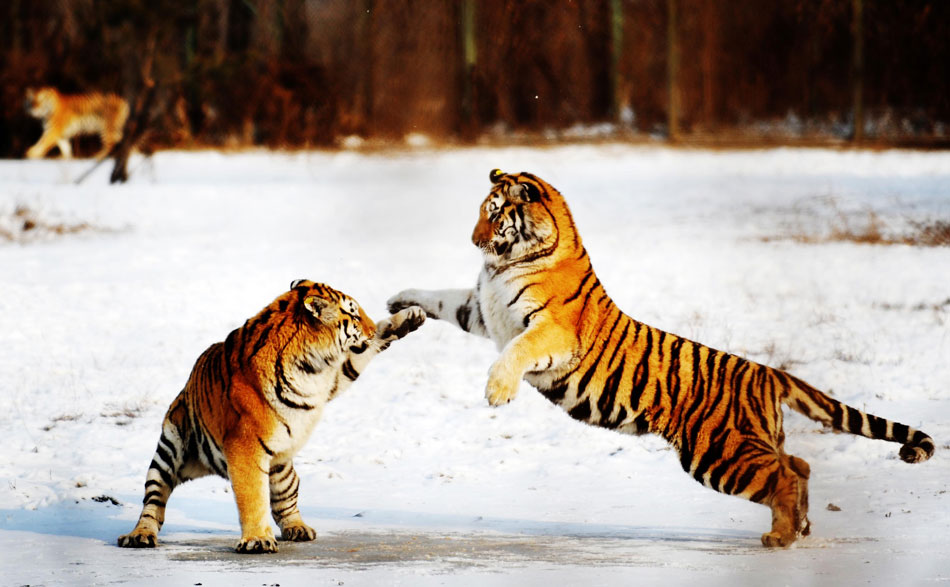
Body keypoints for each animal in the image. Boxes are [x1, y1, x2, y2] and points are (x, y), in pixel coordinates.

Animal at [117, 282, 426, 552]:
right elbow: (253, 496)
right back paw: (139, 535)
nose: (371, 328)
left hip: (282, 466)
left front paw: (407, 318)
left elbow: (363, 354)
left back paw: (298, 528)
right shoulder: (244, 447)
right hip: (170, 449)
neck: (315, 366)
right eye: (353, 314)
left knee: (286, 500)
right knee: (154, 501)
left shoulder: (335, 378)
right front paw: (257, 540)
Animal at [386, 168, 936, 548]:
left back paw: (781, 537)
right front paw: (399, 301)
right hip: (749, 444)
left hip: (719, 453)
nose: (474, 240)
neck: (506, 264)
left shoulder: (549, 332)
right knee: (798, 463)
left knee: (784, 474)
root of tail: (766, 370)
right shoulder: (480, 310)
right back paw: (797, 528)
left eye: (496, 213)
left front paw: (497, 390)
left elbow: (517, 351)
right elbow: (438, 296)